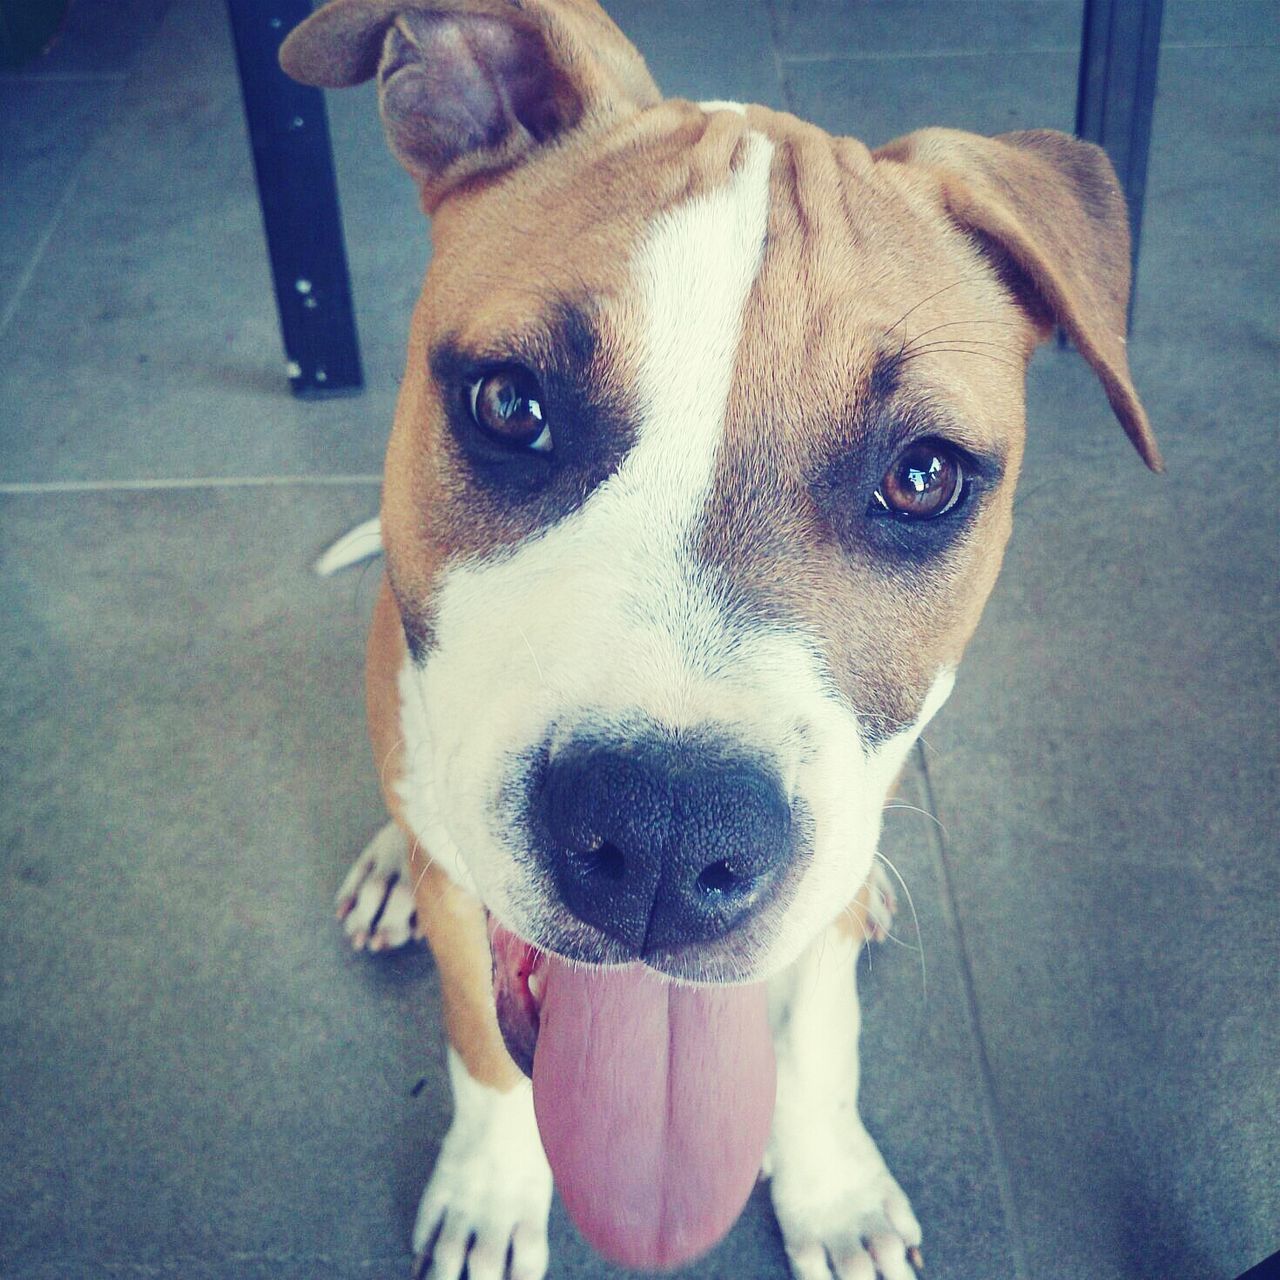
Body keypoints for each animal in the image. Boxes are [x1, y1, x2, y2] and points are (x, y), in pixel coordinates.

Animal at [285, 5, 1167, 1274]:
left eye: (923, 476)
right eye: (511, 403)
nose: (660, 836)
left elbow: (822, 1036)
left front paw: (830, 1188)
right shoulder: (471, 919)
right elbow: (483, 1044)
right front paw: (493, 1187)